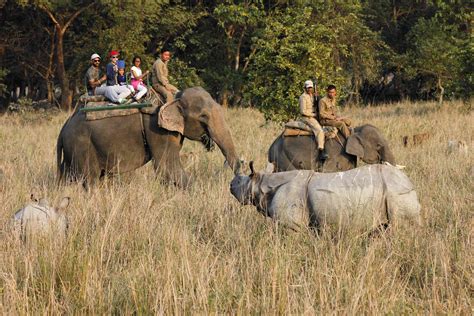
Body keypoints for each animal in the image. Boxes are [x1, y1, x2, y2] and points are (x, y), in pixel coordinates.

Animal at [57, 86, 241, 188]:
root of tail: (64, 126)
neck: (173, 98)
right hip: (81, 145)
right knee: (91, 179)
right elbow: (167, 167)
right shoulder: (157, 130)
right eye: (203, 117)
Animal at [231, 162, 420, 231]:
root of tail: (408, 180)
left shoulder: (291, 224)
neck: (263, 183)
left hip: (396, 192)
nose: (230, 185)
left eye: (240, 182)